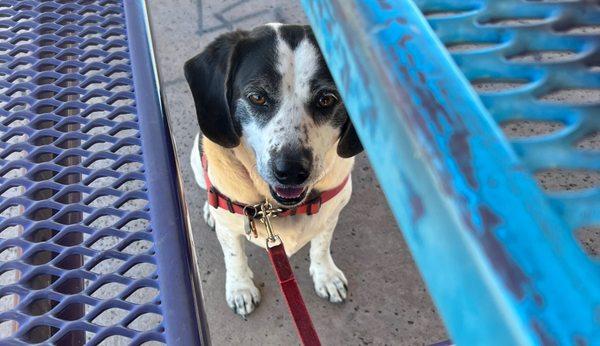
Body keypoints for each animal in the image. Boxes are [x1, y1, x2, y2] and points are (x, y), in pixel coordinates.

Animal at [185, 23, 360, 316]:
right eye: (257, 97)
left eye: (327, 99)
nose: (290, 171)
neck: (275, 209)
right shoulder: (230, 231)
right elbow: (234, 256)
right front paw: (240, 288)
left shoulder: (331, 213)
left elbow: (321, 245)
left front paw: (326, 275)